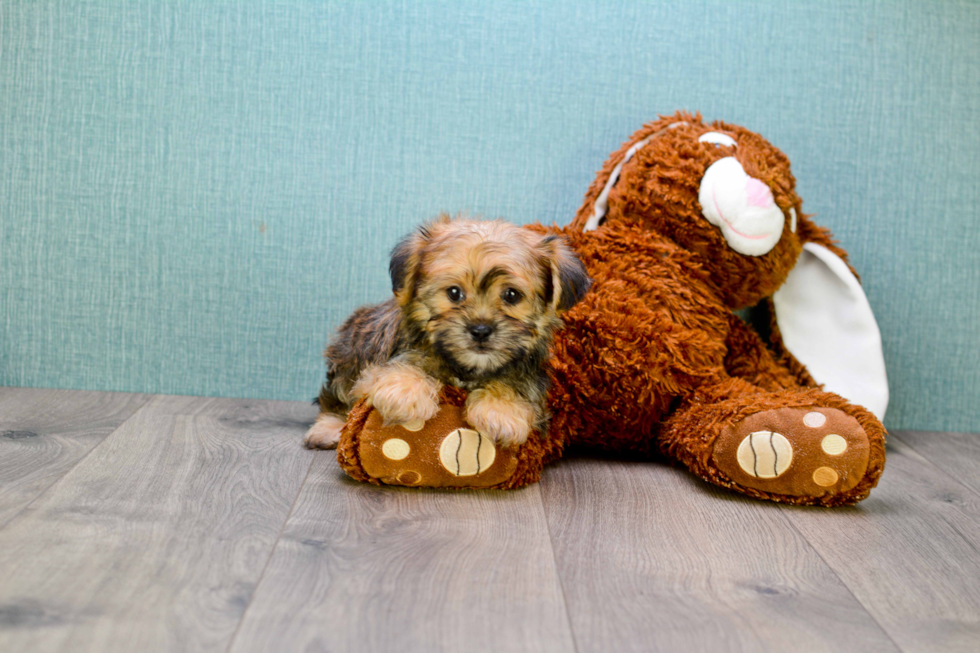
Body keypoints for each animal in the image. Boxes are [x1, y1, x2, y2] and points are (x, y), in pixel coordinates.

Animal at [304, 216, 588, 450]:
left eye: (511, 295)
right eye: (454, 293)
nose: (481, 330)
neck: (467, 369)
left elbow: (514, 385)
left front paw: (501, 409)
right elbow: (405, 365)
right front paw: (404, 391)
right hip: (349, 351)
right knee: (335, 396)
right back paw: (327, 429)